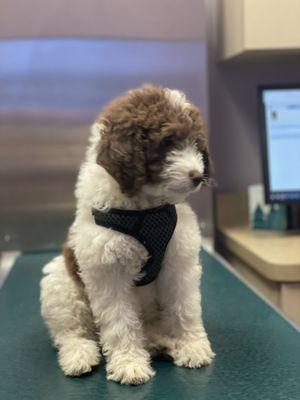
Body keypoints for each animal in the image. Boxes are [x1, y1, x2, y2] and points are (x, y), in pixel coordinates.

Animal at [39, 83, 214, 384]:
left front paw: (192, 347)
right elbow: (120, 321)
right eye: (167, 142)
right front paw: (129, 364)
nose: (197, 176)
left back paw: (159, 341)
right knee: (70, 332)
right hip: (60, 285)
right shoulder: (107, 270)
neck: (145, 210)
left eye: (195, 143)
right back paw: (79, 355)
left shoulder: (179, 260)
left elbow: (185, 307)